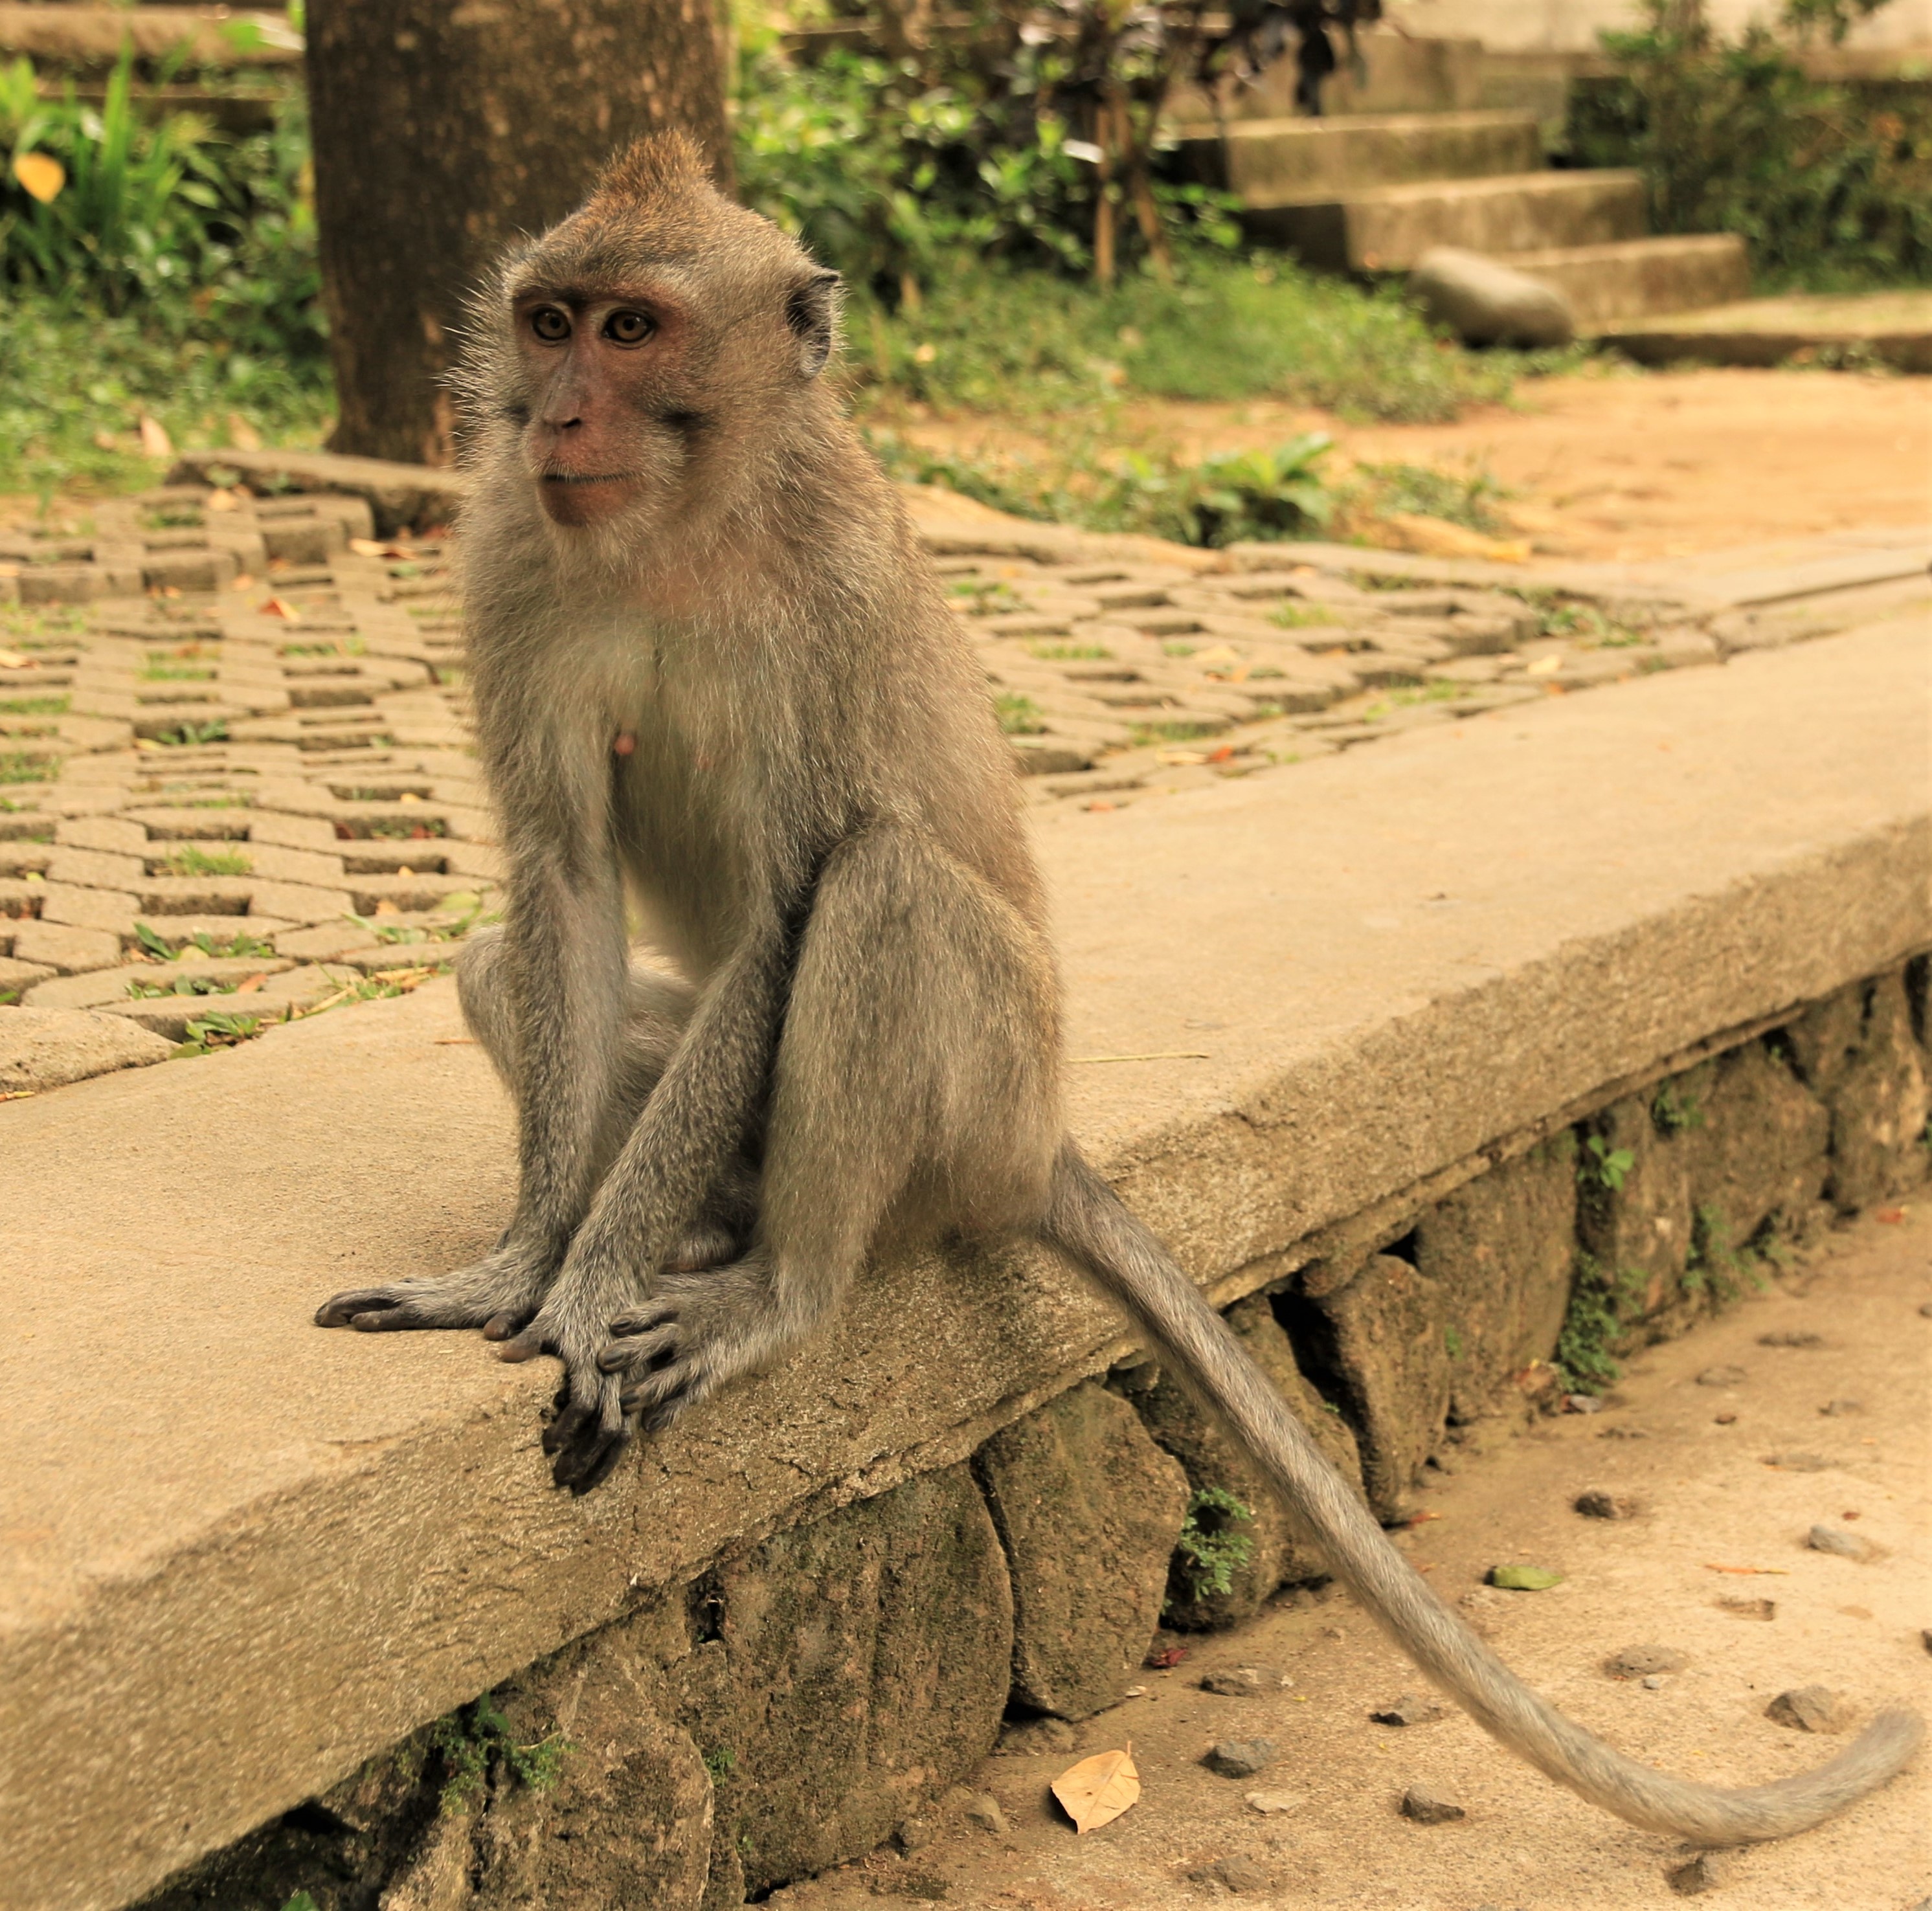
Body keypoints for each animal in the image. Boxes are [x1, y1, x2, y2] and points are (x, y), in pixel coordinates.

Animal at [315, 133, 1920, 1847]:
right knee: (517, 955)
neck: (687, 525)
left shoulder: (828, 600)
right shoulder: (511, 551)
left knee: (890, 891)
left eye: (632, 331)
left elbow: (791, 907)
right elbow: (557, 880)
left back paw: (775, 1292)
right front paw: (528, 1263)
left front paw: (589, 1285)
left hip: (979, 1099)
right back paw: (695, 1233)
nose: (552, 416)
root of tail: (1044, 1142)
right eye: (549, 321)